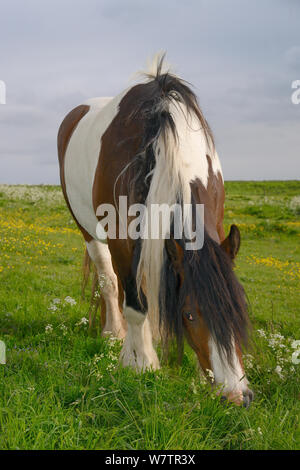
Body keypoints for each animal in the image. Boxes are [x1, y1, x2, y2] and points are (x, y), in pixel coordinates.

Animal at [56, 54, 253, 408]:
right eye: (189, 315)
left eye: (240, 308)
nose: (236, 396)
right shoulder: (121, 237)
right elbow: (136, 305)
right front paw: (141, 364)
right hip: (90, 231)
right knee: (110, 281)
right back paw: (114, 334)